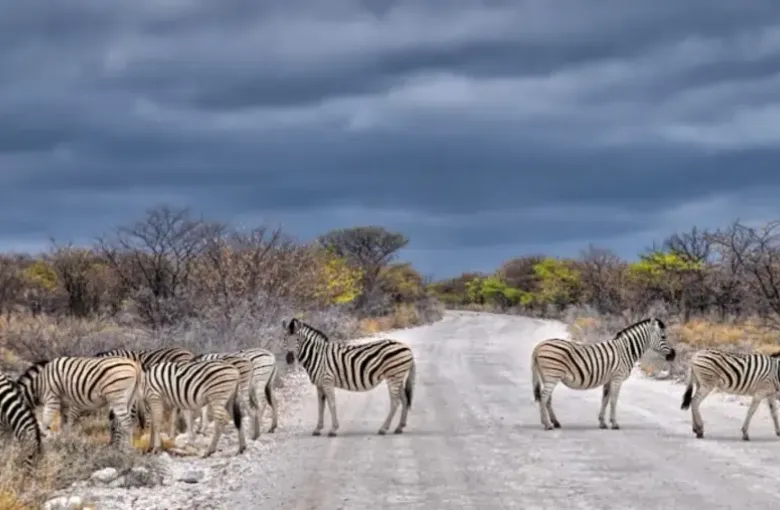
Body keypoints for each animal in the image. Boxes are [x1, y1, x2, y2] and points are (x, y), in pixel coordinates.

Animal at [284, 317, 416, 436]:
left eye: (297, 339)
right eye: (285, 338)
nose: (289, 358)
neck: (317, 356)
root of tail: (408, 348)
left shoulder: (327, 381)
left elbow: (332, 404)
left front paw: (333, 429)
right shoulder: (319, 385)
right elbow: (321, 407)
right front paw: (317, 429)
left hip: (393, 376)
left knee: (395, 402)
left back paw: (383, 429)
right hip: (398, 376)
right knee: (404, 400)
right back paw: (399, 427)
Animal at [531, 317, 676, 430]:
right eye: (663, 337)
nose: (673, 355)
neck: (626, 350)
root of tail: (538, 346)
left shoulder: (608, 380)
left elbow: (605, 400)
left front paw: (602, 423)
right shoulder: (617, 378)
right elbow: (613, 400)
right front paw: (614, 423)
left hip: (548, 377)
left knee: (547, 399)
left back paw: (555, 422)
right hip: (552, 376)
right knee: (544, 397)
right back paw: (547, 424)